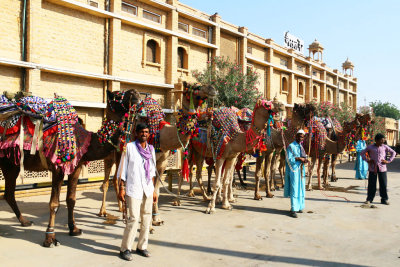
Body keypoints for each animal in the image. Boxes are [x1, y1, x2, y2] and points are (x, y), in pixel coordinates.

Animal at [0, 89, 141, 247]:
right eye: (118, 95)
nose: (135, 93)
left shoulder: (76, 168)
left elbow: (71, 199)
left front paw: (74, 229)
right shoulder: (57, 168)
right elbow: (54, 203)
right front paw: (50, 238)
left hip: (11, 164)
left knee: (9, 194)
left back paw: (24, 222)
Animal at [95, 83, 217, 226]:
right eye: (196, 86)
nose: (212, 89)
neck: (161, 135)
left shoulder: (161, 164)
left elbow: (155, 192)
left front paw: (156, 219)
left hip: (120, 156)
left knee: (116, 179)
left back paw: (121, 208)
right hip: (109, 156)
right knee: (106, 182)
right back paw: (103, 211)